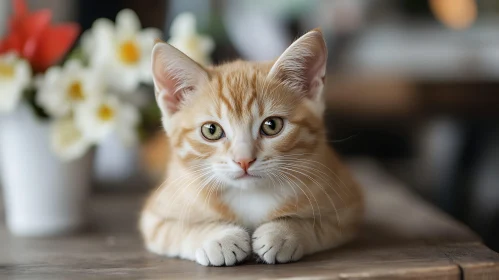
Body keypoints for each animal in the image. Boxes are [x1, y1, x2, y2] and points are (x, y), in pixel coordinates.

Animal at [140, 29, 364, 266]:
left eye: (271, 125)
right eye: (211, 130)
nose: (244, 160)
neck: (248, 194)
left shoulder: (348, 208)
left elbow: (316, 226)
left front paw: (282, 234)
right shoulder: (154, 217)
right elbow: (180, 230)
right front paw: (220, 238)